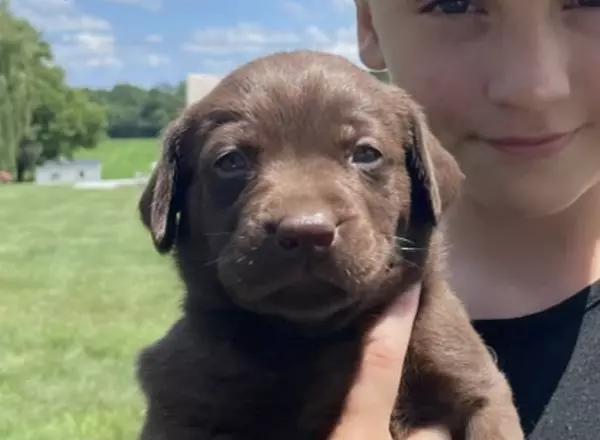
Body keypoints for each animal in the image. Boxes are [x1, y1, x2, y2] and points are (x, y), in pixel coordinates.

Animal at [134, 49, 524, 438]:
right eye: (230, 161)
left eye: (366, 154)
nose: (306, 231)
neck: (314, 338)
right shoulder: (183, 400)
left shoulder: (475, 383)